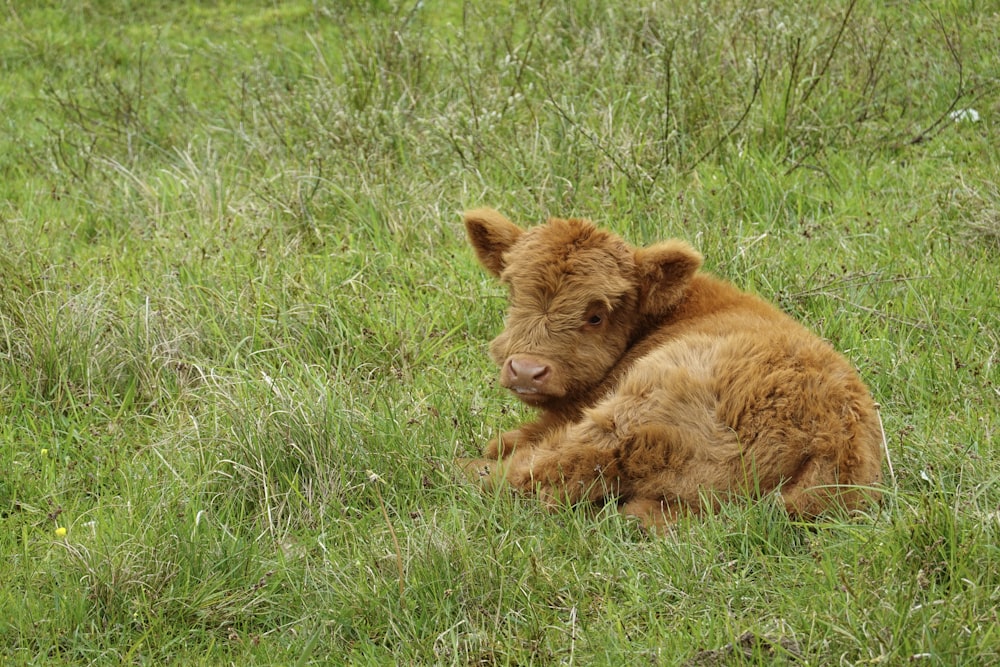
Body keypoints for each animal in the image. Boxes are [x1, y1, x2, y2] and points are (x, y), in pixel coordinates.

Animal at [460, 209, 884, 532]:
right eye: (514, 293)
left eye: (596, 315)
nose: (526, 370)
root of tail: (834, 437)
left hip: (630, 413)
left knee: (538, 474)